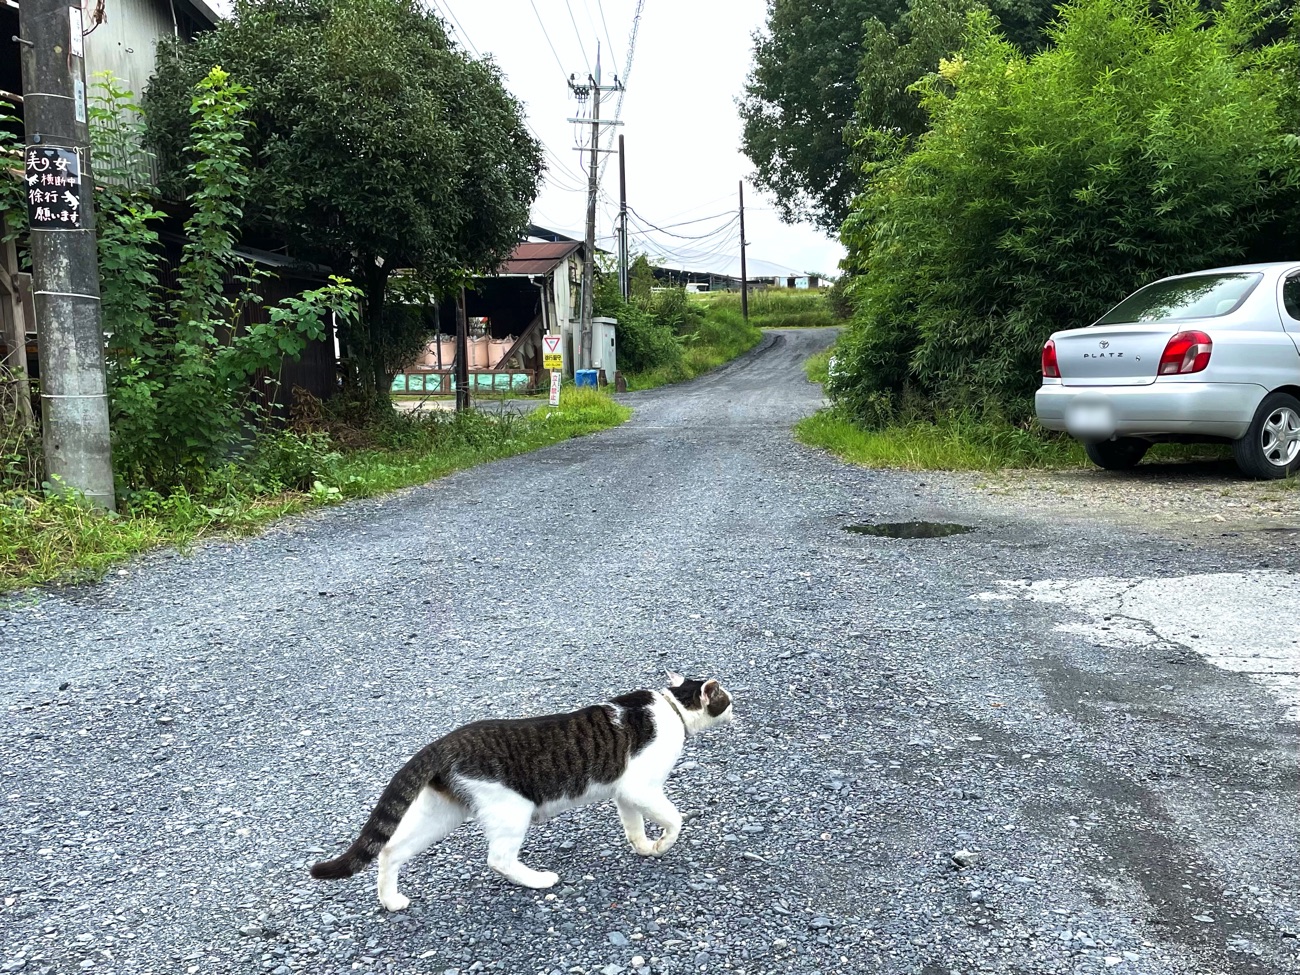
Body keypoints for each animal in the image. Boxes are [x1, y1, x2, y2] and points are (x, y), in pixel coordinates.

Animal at [304, 676, 733, 915]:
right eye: (725, 697)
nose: (736, 706)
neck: (672, 706)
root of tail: (443, 743)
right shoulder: (640, 786)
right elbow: (673, 819)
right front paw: (663, 845)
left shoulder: (625, 793)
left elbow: (634, 825)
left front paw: (644, 848)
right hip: (512, 808)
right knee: (498, 859)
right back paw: (539, 880)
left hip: (440, 814)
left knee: (391, 849)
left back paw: (391, 901)